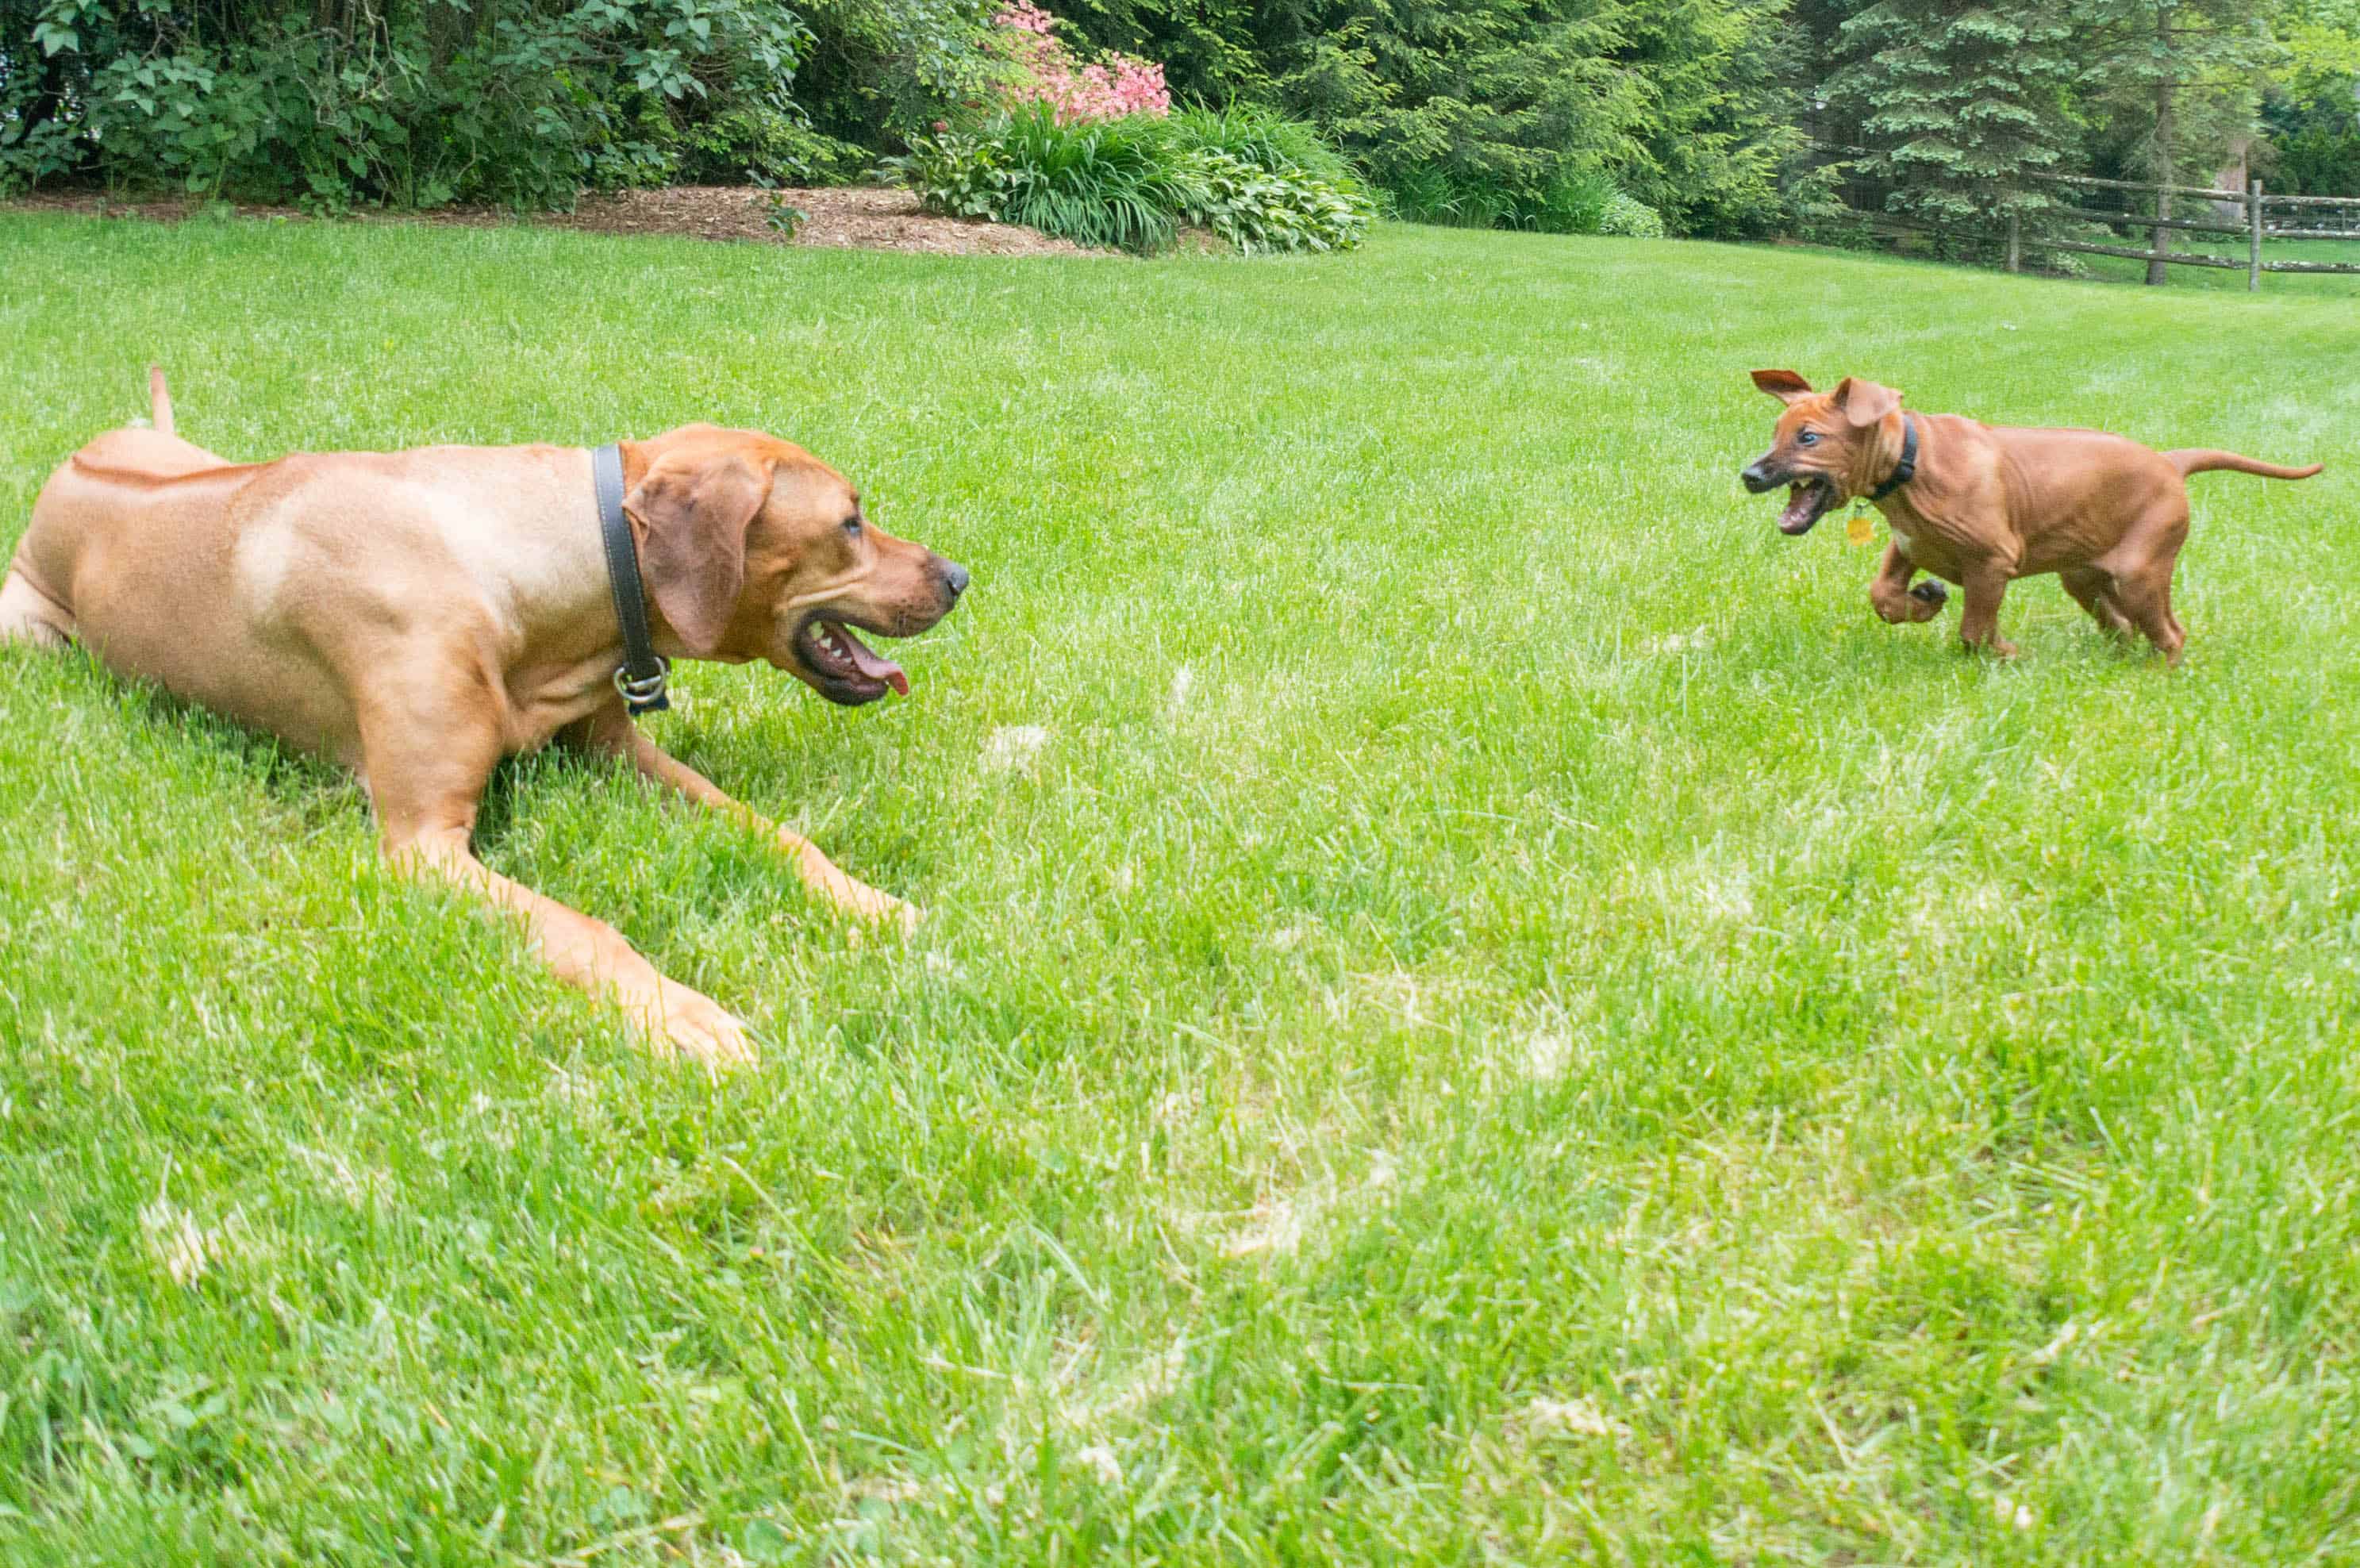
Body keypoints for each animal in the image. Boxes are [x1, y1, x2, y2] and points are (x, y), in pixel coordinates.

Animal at [2, 373, 967, 1072]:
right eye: (850, 522)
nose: (959, 577)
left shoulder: (616, 752)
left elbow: (774, 833)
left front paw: (872, 903)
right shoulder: (422, 846)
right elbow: (585, 929)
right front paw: (679, 1015)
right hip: (29, 632)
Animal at [1746, 371, 2312, 666]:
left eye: (1809, 438)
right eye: (1777, 432)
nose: (1750, 475)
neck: (1913, 465)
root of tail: (2170, 462)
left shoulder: (1993, 563)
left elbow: (1975, 631)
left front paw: (2005, 652)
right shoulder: (1908, 546)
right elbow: (1883, 597)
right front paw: (1925, 601)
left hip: (2139, 574)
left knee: (2172, 634)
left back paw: (2159, 675)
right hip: (2083, 577)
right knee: (2122, 626)